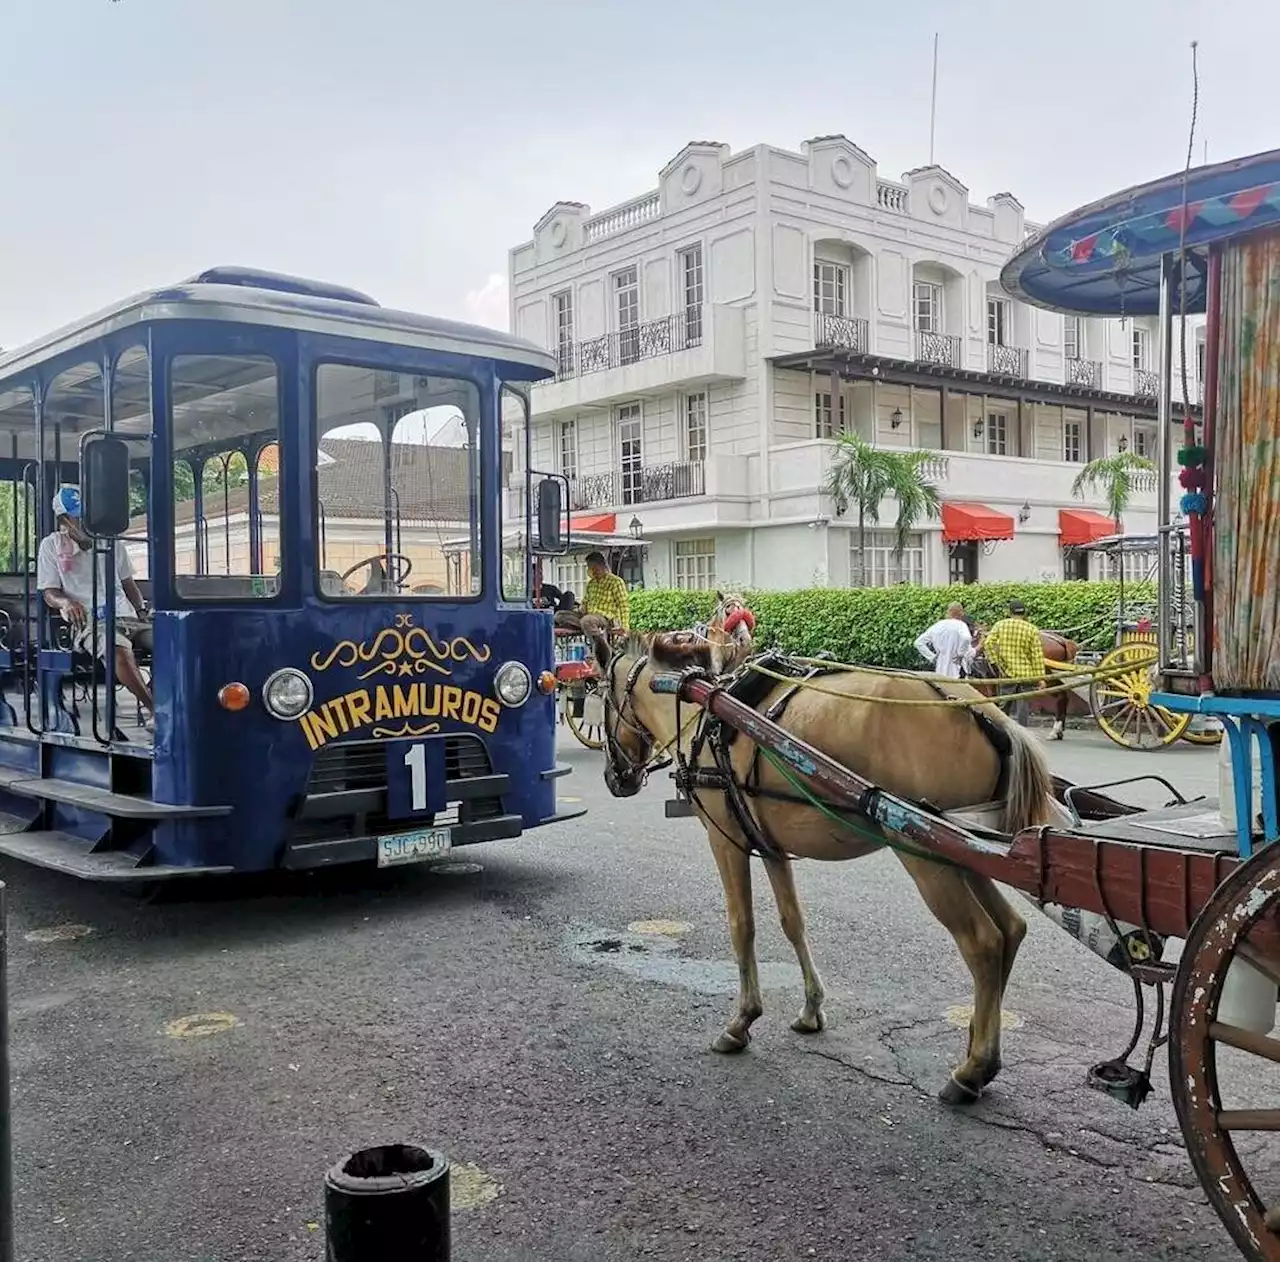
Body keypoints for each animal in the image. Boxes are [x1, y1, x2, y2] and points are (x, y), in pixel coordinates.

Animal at [593, 619, 1054, 1100]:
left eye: (602, 696)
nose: (615, 778)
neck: (701, 708)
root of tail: (985, 712)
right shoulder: (770, 845)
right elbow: (792, 921)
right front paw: (812, 1008)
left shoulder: (727, 841)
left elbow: (742, 927)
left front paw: (742, 1020)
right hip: (966, 849)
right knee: (1010, 930)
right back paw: (979, 1044)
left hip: (928, 855)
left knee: (983, 942)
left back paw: (972, 1069)